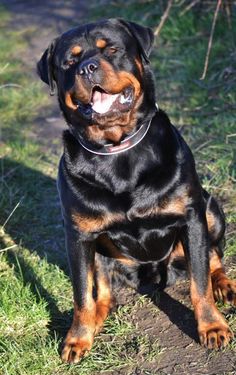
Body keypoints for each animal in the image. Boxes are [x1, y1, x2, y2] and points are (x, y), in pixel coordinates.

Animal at [37, 18, 236, 364]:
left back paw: (224, 285)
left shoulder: (191, 217)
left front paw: (212, 326)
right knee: (101, 288)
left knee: (213, 257)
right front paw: (77, 338)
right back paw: (98, 317)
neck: (117, 152)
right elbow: (82, 294)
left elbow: (199, 284)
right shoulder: (78, 235)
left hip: (210, 208)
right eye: (69, 62)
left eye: (112, 50)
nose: (87, 67)